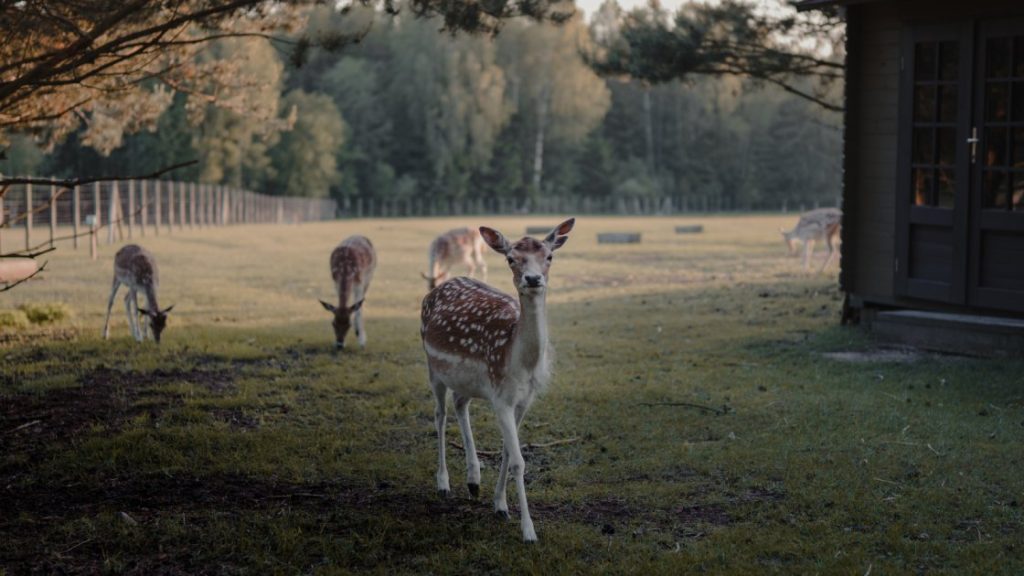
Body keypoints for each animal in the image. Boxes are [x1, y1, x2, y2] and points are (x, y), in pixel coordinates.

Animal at [420, 217, 575, 543]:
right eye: (511, 259)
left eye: (549, 256)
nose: (532, 279)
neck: (521, 363)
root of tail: (436, 289)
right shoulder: (501, 396)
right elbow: (518, 460)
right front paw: (528, 531)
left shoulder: (525, 399)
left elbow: (507, 451)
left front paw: (500, 505)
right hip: (432, 366)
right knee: (440, 414)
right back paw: (443, 483)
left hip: (467, 382)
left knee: (459, 404)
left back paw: (473, 480)